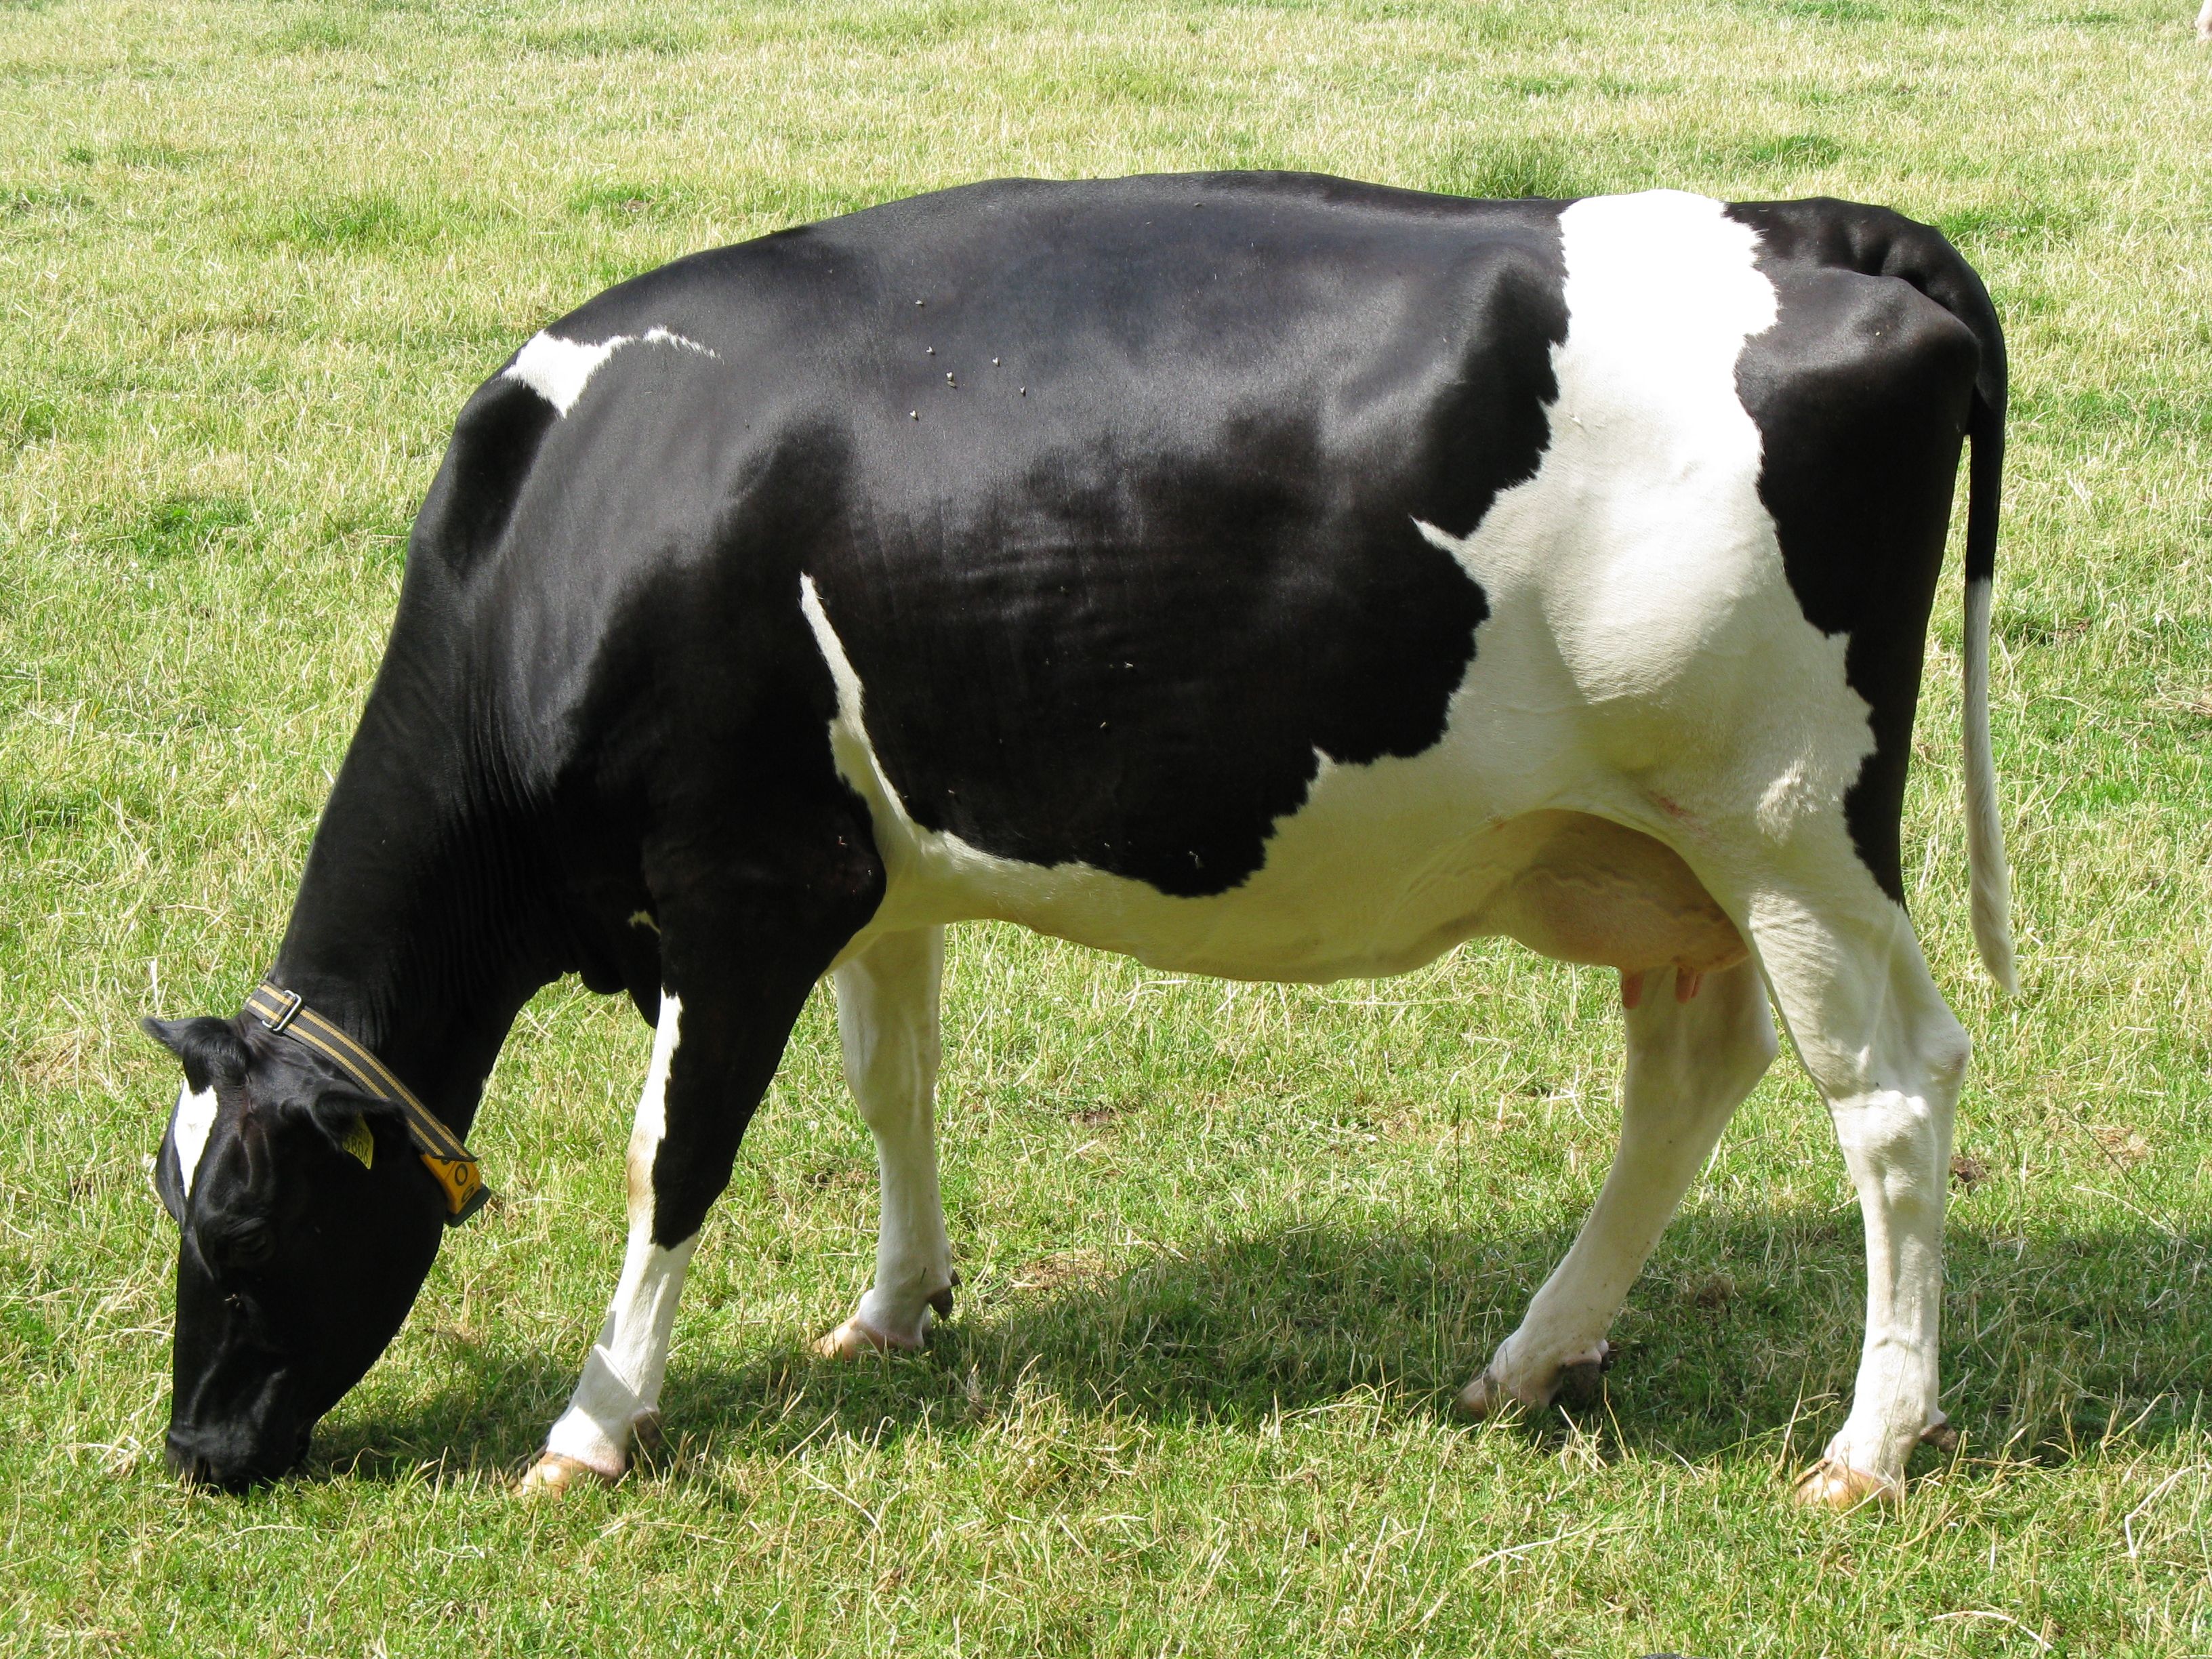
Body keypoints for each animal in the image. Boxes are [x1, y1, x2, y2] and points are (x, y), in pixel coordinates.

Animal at [143, 172, 2013, 1510]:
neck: (590, 521)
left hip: (1789, 820)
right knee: (1689, 1073)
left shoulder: (740, 889)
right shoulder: (869, 876)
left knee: (1893, 1092)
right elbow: (891, 1086)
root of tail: (1807, 224)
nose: (197, 1452)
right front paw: (895, 1304)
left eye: (238, 1229)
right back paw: (1536, 1355)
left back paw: (1871, 1440)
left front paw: (594, 1423)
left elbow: (673, 1157)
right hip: (1669, 855)